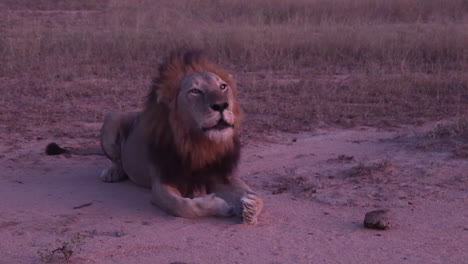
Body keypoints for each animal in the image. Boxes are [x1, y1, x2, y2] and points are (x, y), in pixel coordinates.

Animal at [47, 50, 264, 225]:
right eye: (195, 91)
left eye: (223, 87)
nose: (221, 105)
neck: (198, 141)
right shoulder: (162, 182)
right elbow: (183, 206)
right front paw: (221, 205)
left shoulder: (220, 173)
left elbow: (256, 196)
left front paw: (250, 207)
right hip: (112, 118)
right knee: (117, 159)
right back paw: (112, 172)